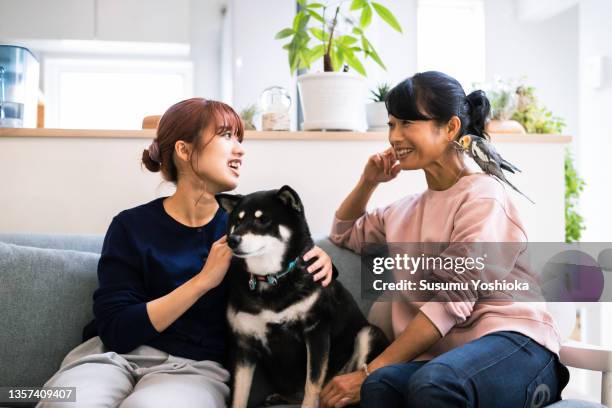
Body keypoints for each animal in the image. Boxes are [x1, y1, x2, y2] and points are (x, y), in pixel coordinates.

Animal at [218, 186, 390, 408]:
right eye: (237, 221)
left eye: (262, 219)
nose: (232, 240)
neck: (272, 279)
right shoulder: (243, 344)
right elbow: (238, 396)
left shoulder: (316, 330)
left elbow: (312, 386)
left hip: (367, 334)